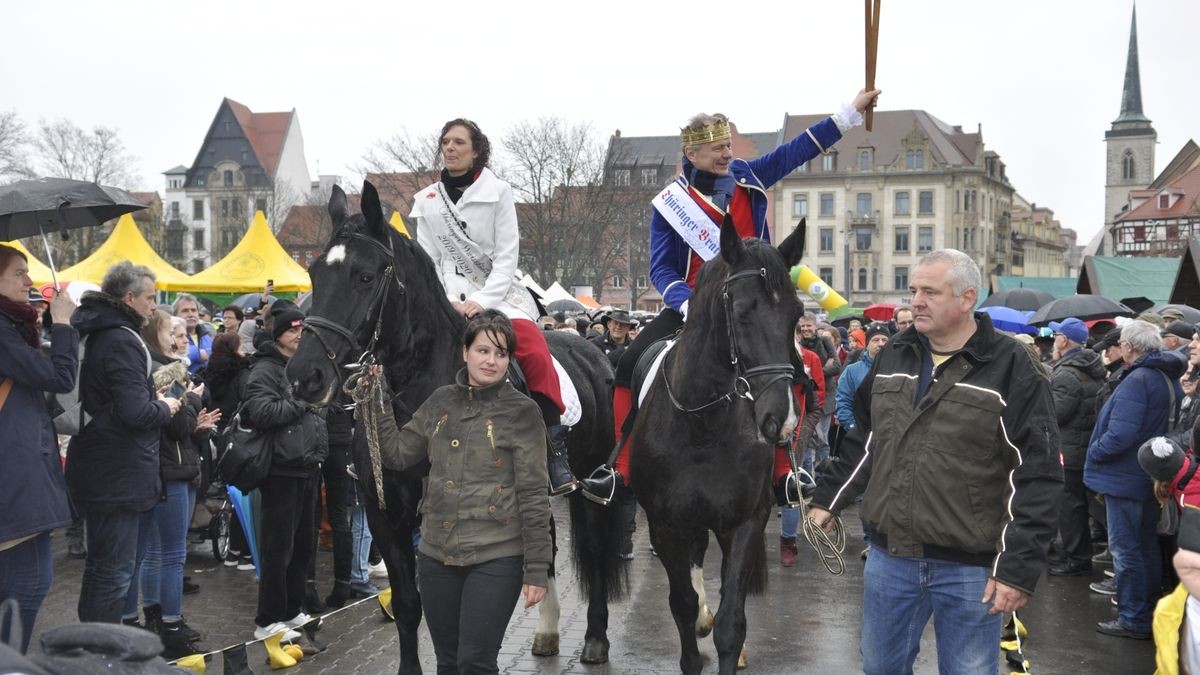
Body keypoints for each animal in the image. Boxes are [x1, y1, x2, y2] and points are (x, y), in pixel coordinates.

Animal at [286, 180, 633, 672]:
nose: (305, 376)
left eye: (365, 276)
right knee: (545, 543)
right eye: (315, 274)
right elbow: (411, 606)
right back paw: (547, 631)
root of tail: (595, 353)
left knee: (597, 550)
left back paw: (596, 640)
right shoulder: (386, 516)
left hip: (590, 486)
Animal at [628, 218, 806, 667]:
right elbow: (682, 605)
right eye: (742, 311)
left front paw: (728, 641)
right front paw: (695, 632)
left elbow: (731, 624)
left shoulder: (745, 522)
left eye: (797, 315)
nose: (781, 419)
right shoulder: (665, 526)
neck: (703, 424)